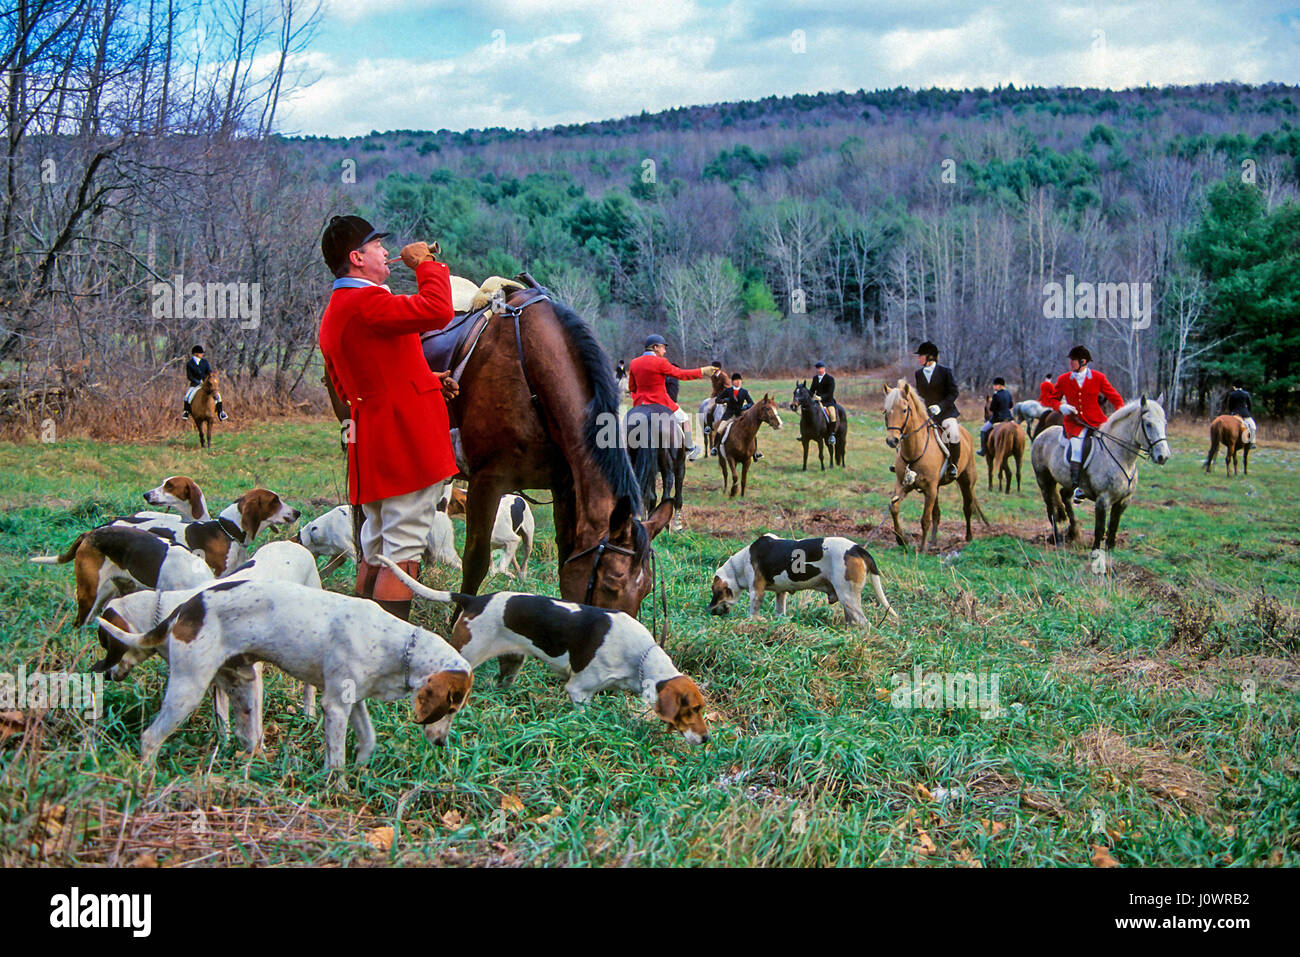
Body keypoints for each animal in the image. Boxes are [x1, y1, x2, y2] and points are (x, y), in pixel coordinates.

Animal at [878, 377, 987, 548]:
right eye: (886, 411)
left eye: (904, 410)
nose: (892, 440)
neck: (915, 450)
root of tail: (966, 434)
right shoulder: (904, 485)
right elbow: (893, 507)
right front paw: (901, 539)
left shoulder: (929, 489)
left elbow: (925, 520)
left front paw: (922, 548)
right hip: (937, 488)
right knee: (937, 513)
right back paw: (934, 541)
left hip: (966, 482)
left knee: (967, 508)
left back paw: (968, 537)